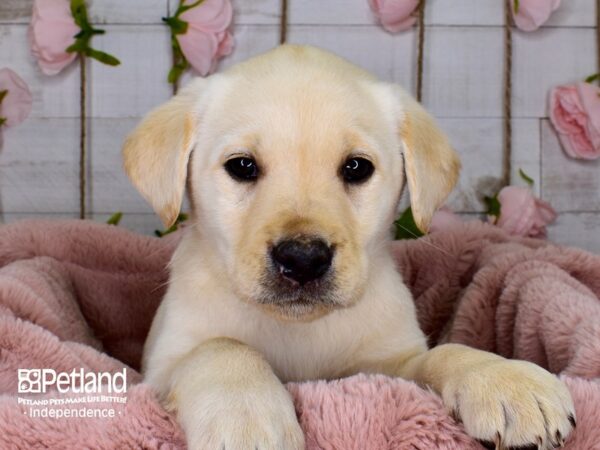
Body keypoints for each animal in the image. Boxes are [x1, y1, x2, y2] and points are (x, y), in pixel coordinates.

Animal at [123, 44, 576, 448]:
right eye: (242, 166)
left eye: (357, 167)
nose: (303, 259)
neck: (298, 330)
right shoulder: (159, 368)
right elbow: (220, 347)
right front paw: (245, 413)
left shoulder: (389, 366)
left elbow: (443, 353)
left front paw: (503, 379)